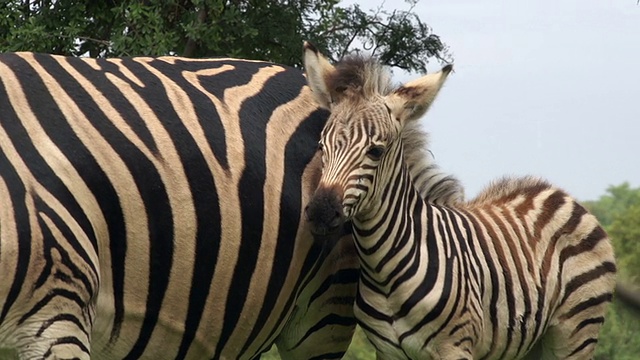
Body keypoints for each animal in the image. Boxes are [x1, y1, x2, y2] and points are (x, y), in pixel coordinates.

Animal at [302, 43, 616, 360]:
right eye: (321, 146)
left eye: (375, 151)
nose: (320, 212)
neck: (383, 270)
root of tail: (559, 194)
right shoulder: (387, 351)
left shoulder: (455, 348)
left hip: (575, 331)